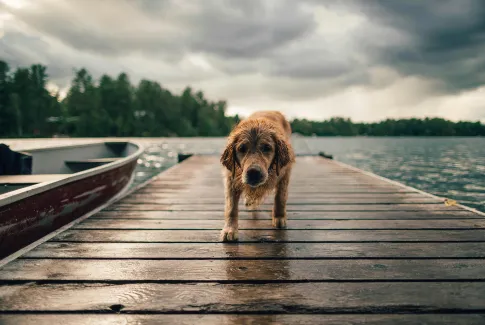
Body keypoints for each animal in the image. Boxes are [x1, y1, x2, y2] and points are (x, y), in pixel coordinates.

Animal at [219, 111, 294, 240]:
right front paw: (230, 229)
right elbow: (231, 207)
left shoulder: (285, 173)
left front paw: (279, 217)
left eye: (267, 148)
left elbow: (280, 197)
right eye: (242, 148)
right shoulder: (231, 179)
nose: (253, 172)